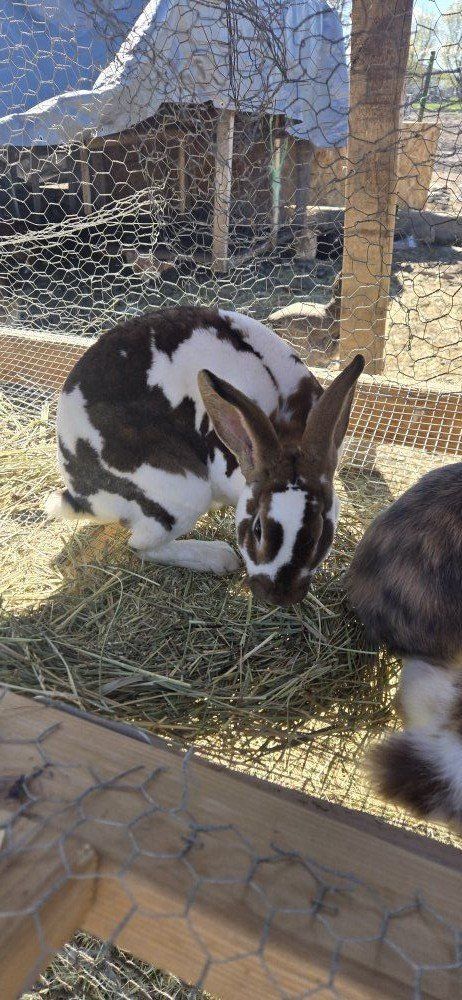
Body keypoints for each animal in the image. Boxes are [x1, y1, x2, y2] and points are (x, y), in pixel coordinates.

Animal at [45, 305, 364, 606]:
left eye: (322, 533)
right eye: (258, 529)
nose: (278, 596)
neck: (286, 435)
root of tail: (80, 492)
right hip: (183, 492)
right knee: (141, 547)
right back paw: (218, 557)